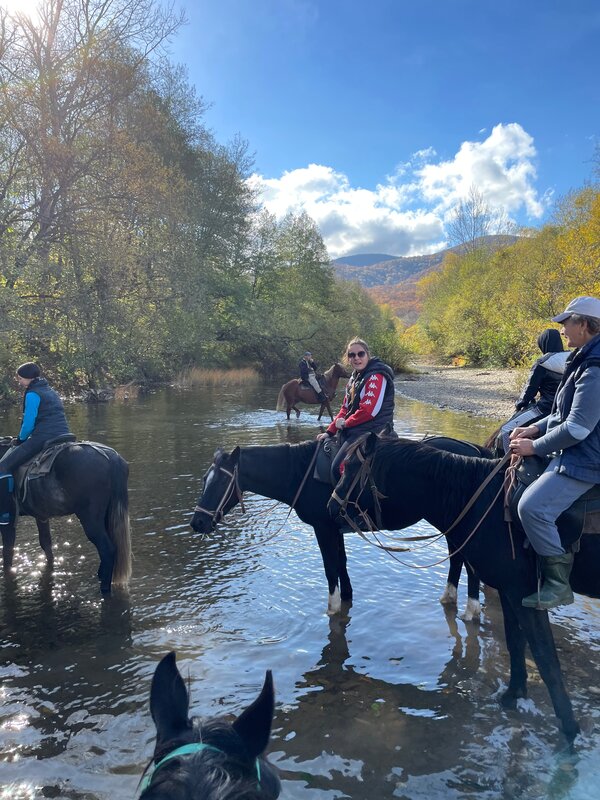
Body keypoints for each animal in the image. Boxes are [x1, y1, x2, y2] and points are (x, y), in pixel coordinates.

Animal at [0, 434, 131, 592]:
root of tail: (113, 458)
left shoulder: (7, 521)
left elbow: (8, 553)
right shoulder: (41, 516)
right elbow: (46, 545)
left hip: (91, 520)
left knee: (107, 550)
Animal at [326, 434, 600, 740]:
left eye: (349, 467)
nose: (331, 508)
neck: (486, 504)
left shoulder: (525, 594)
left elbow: (546, 658)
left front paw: (570, 733)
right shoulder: (509, 591)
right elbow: (515, 643)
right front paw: (512, 696)